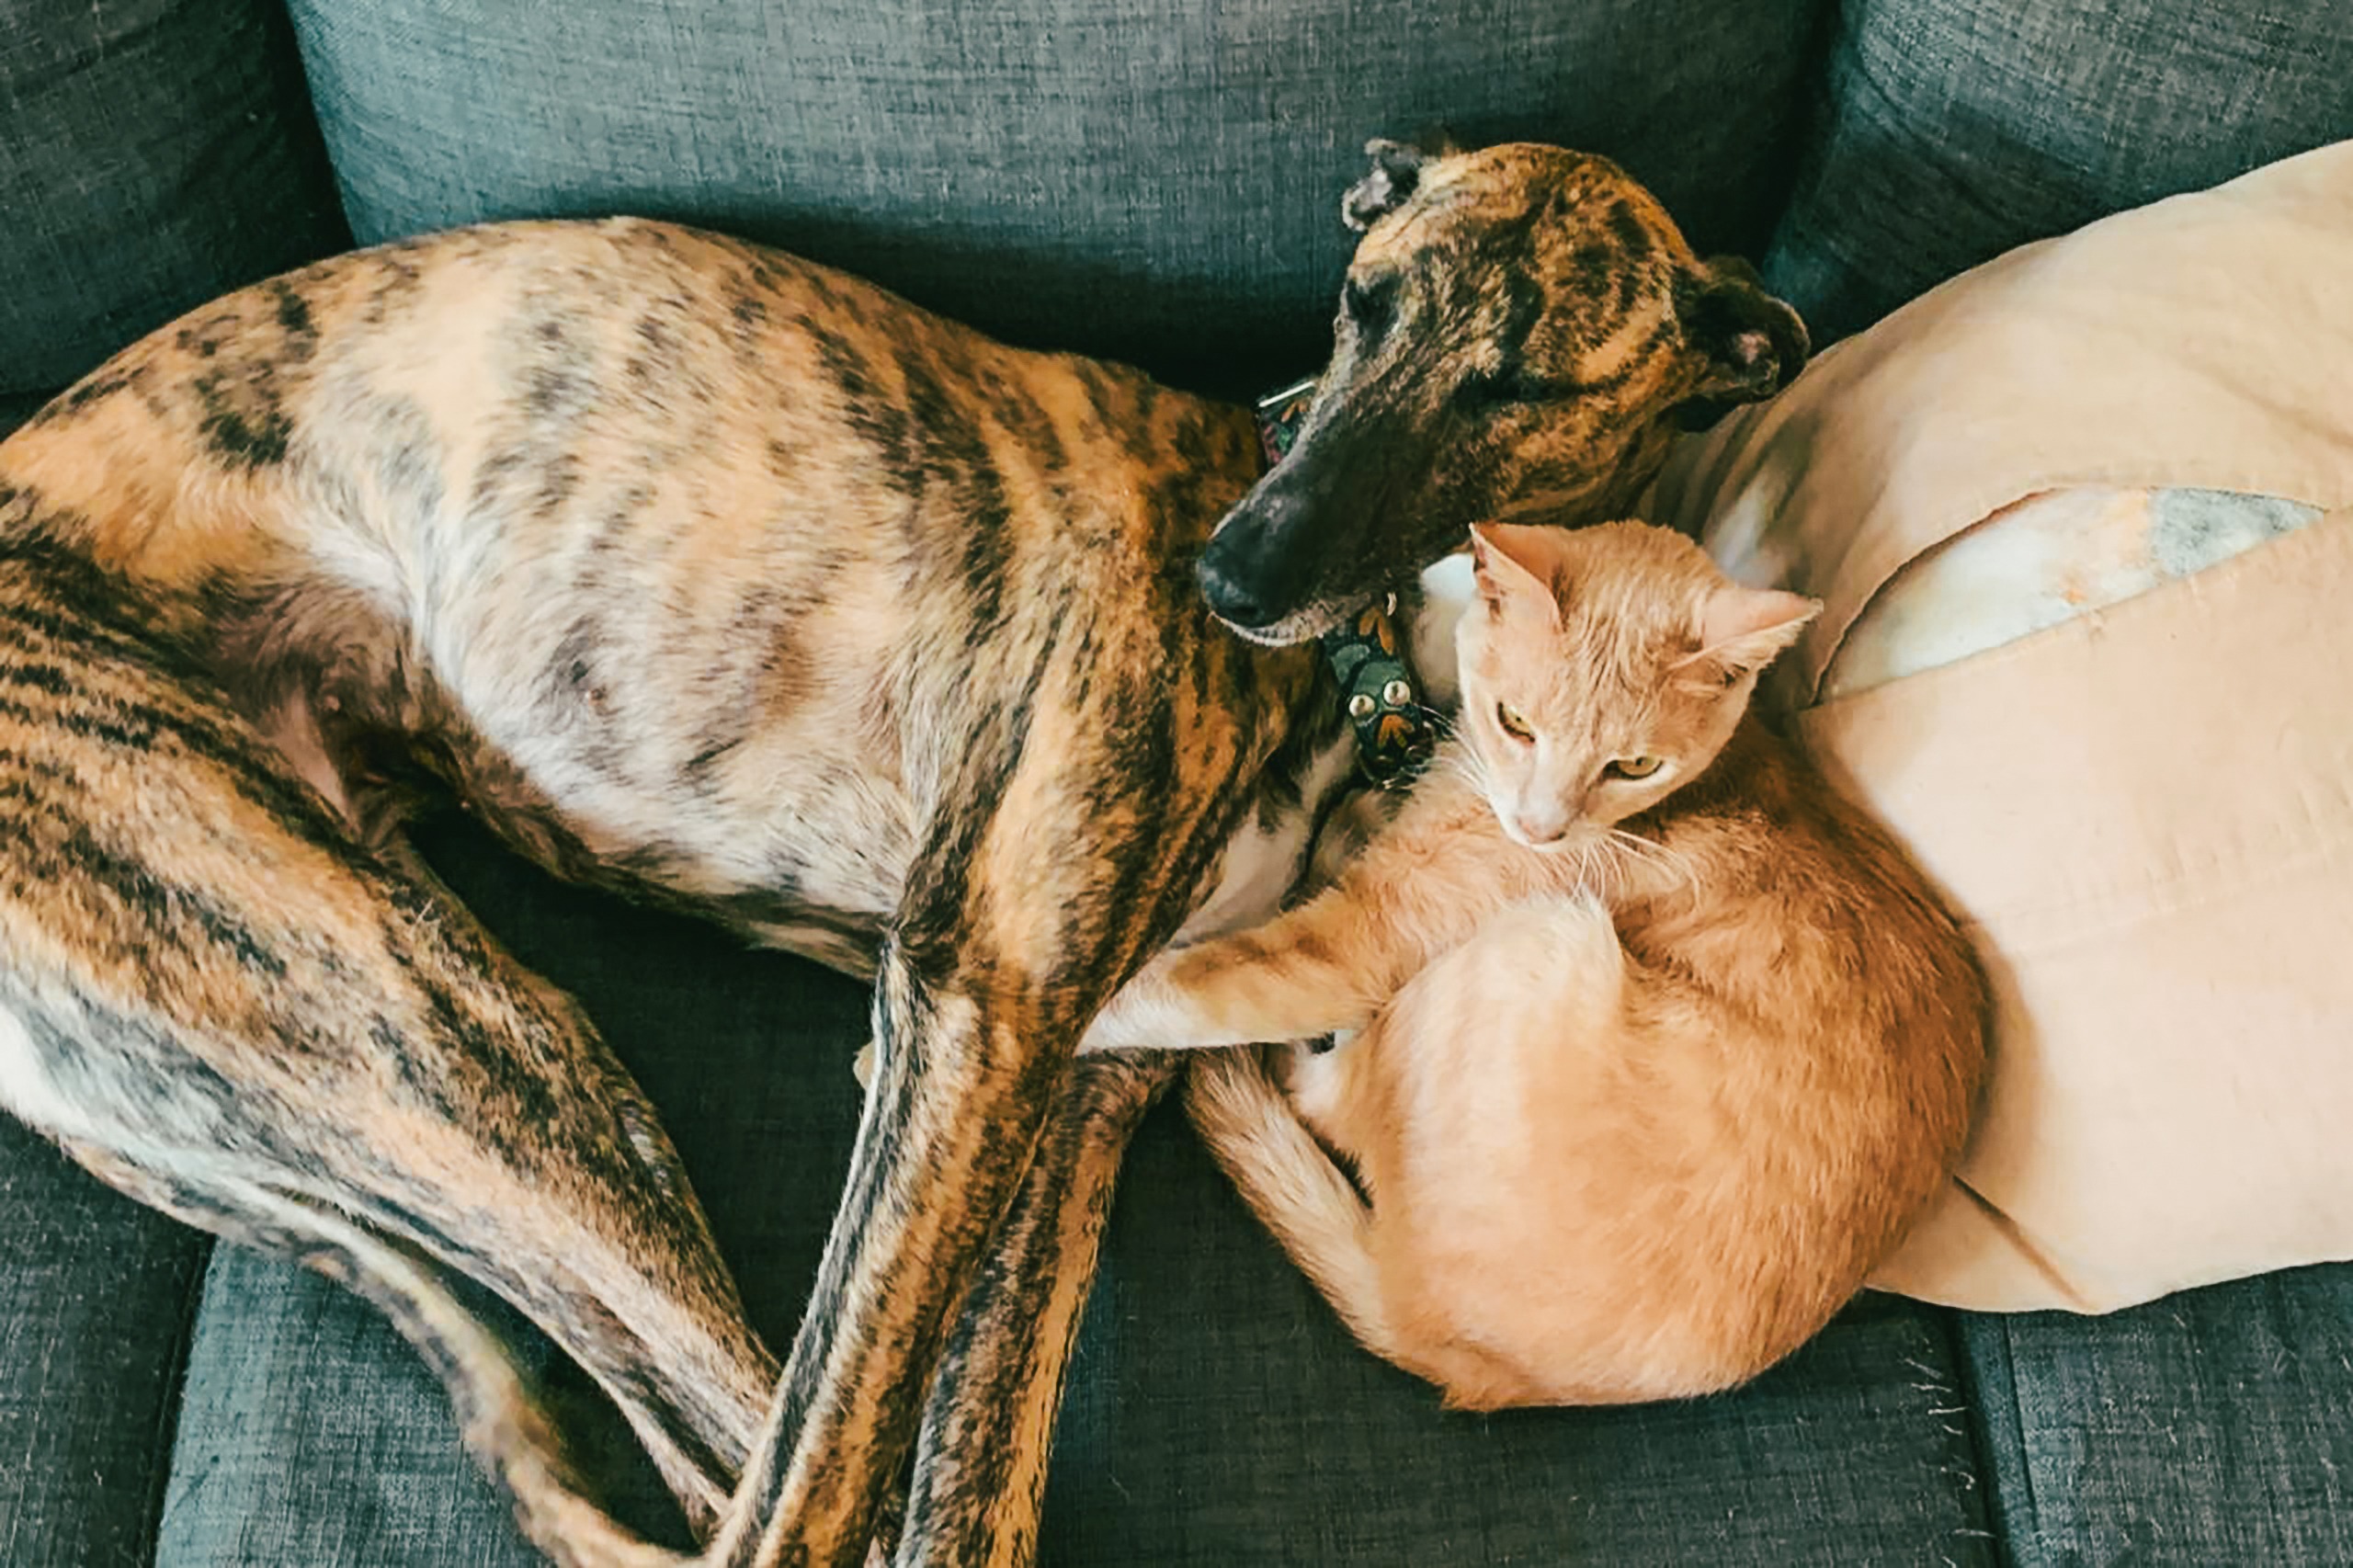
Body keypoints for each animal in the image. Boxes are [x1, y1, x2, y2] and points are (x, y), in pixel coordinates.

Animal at [0, 138, 1804, 1566]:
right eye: (1364, 301)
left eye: (1526, 383)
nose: (1228, 573)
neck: (1360, 656)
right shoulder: (974, 1005)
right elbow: (859, 1475)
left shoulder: (1070, 1092)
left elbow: (974, 1482)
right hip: (451, 1029)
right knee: (764, 1491)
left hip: (417, 1090)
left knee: (717, 1453)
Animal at [1080, 518, 1988, 1411]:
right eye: (1515, 721)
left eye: (1634, 765)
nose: (1542, 829)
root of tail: (1436, 1342)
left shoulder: (1360, 941)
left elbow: (1181, 988)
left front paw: (1080, 1025)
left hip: (1537, 941)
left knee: (1321, 1090)